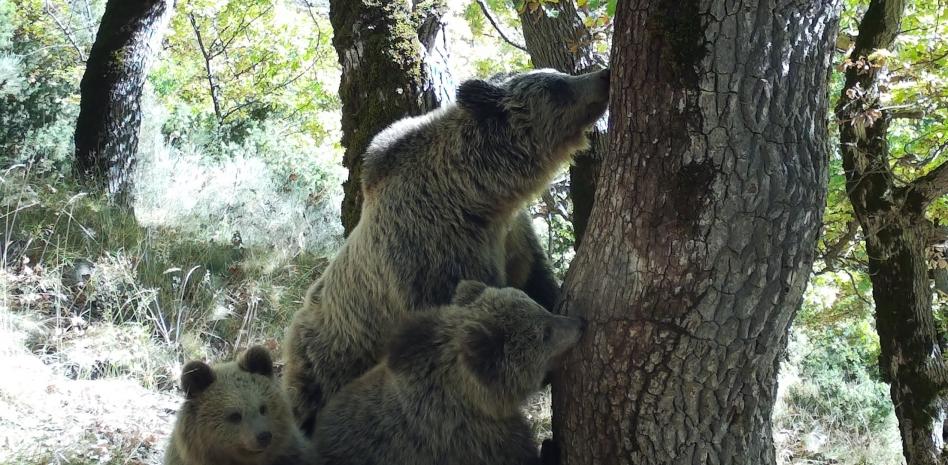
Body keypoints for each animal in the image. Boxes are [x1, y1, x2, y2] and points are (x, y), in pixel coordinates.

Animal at [284, 66, 608, 432]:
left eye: (558, 74)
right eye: (557, 86)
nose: (604, 75)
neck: (477, 197)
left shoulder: (513, 238)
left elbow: (536, 279)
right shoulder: (435, 257)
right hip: (328, 363)